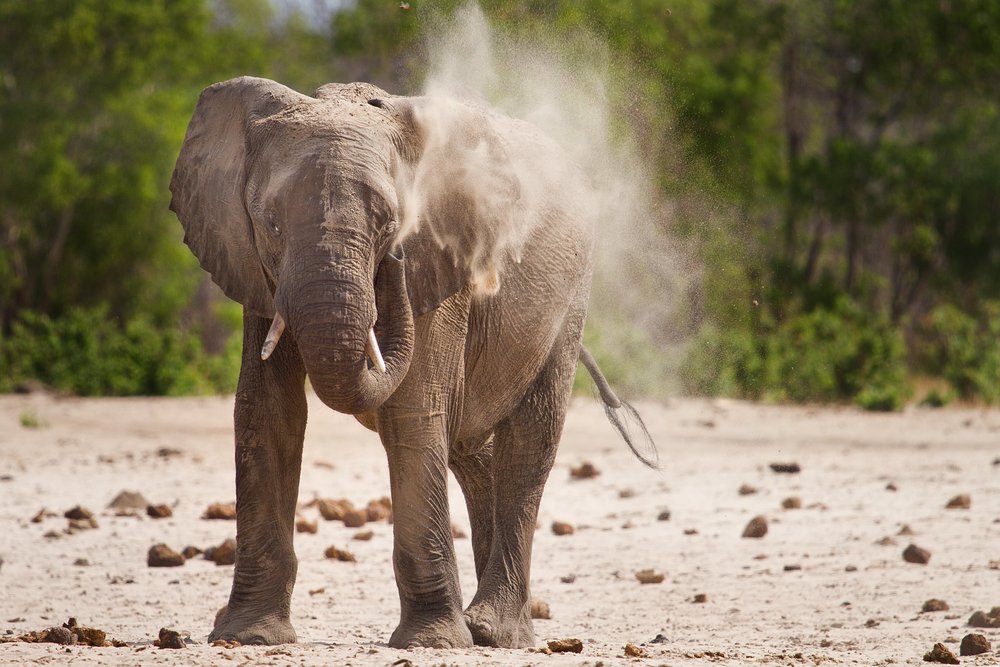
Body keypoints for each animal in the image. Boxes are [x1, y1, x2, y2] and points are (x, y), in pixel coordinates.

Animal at [170, 75, 656, 648]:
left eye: (390, 225)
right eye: (269, 224)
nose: (394, 264)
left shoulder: (442, 260)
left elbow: (413, 411)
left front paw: (431, 642)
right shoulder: (257, 271)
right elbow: (266, 411)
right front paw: (250, 636)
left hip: (571, 293)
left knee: (527, 441)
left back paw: (493, 631)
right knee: (472, 447)